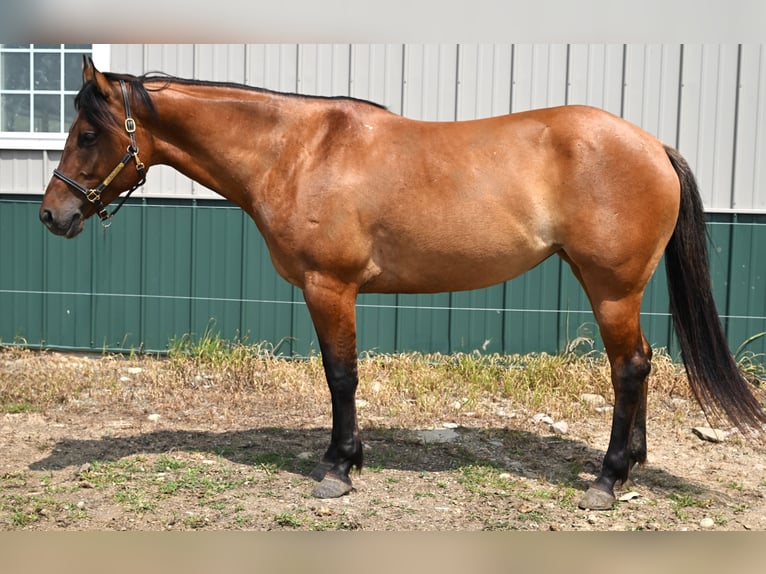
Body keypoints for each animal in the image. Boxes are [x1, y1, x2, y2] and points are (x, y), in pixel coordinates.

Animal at [40, 57, 766, 511]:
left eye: (87, 133)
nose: (52, 214)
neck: (299, 151)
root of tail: (651, 144)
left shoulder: (329, 287)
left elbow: (340, 376)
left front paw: (338, 467)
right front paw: (349, 459)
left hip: (611, 288)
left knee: (629, 369)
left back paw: (608, 480)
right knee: (638, 366)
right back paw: (629, 464)